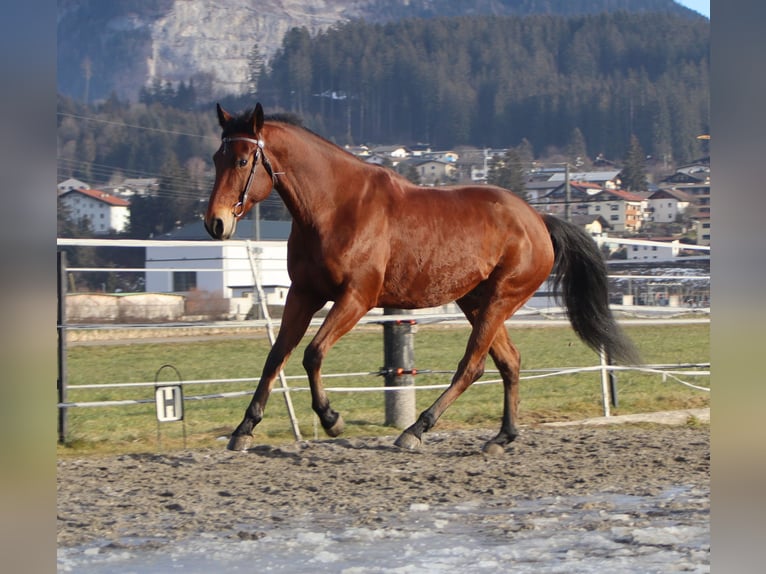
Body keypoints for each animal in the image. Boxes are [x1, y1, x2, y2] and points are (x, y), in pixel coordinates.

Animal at [202, 102, 636, 454]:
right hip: (475, 301)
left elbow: (313, 353)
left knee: (472, 366)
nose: (215, 223)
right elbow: (276, 356)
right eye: (216, 158)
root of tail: (539, 221)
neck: (334, 208)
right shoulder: (304, 294)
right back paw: (501, 437)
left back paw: (415, 430)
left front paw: (331, 419)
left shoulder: (356, 297)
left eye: (242, 161)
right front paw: (243, 430)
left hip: (500, 299)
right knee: (508, 362)